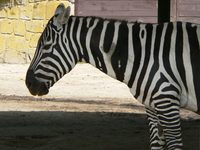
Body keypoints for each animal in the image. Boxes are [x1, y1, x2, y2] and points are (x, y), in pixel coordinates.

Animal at [26, 3, 200, 150]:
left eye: (46, 46)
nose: (28, 83)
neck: (142, 53)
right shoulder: (152, 104)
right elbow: (156, 144)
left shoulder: (167, 101)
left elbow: (174, 144)